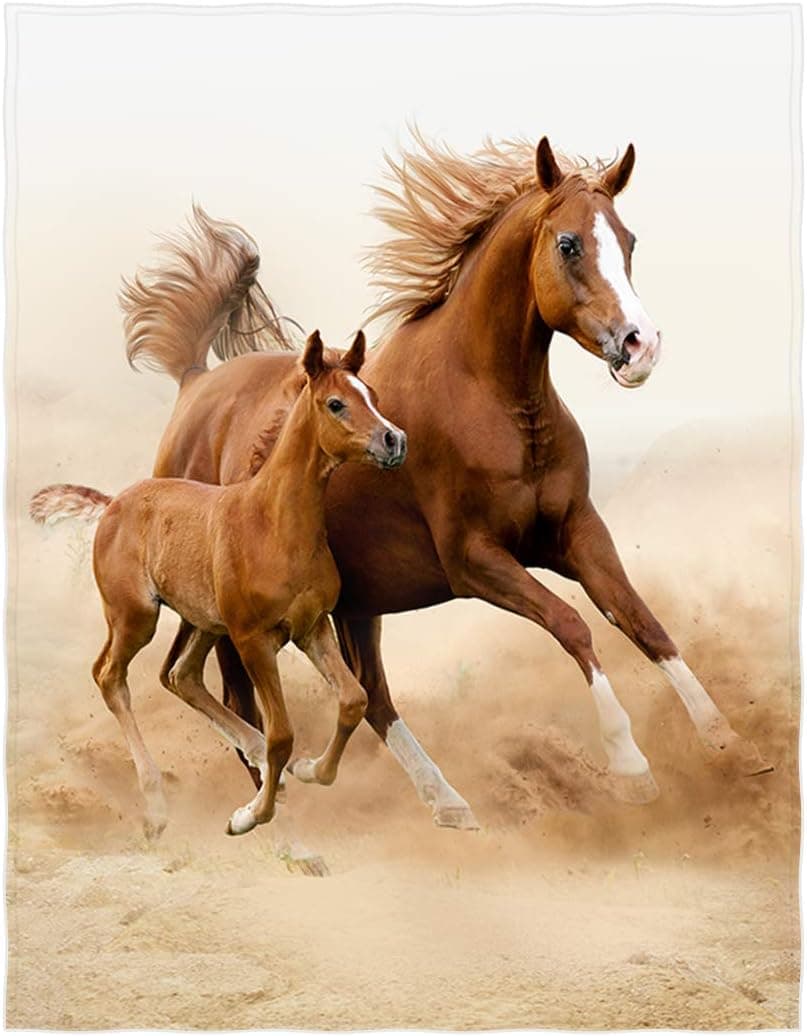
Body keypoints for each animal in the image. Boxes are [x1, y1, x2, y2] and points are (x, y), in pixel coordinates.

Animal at [32, 329, 407, 840]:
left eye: (372, 395)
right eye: (336, 404)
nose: (394, 440)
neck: (273, 524)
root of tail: (112, 504)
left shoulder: (313, 628)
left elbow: (353, 700)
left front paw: (310, 770)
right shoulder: (253, 640)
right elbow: (283, 734)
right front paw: (248, 816)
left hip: (204, 622)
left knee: (181, 675)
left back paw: (261, 764)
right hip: (137, 617)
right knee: (110, 675)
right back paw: (156, 805)